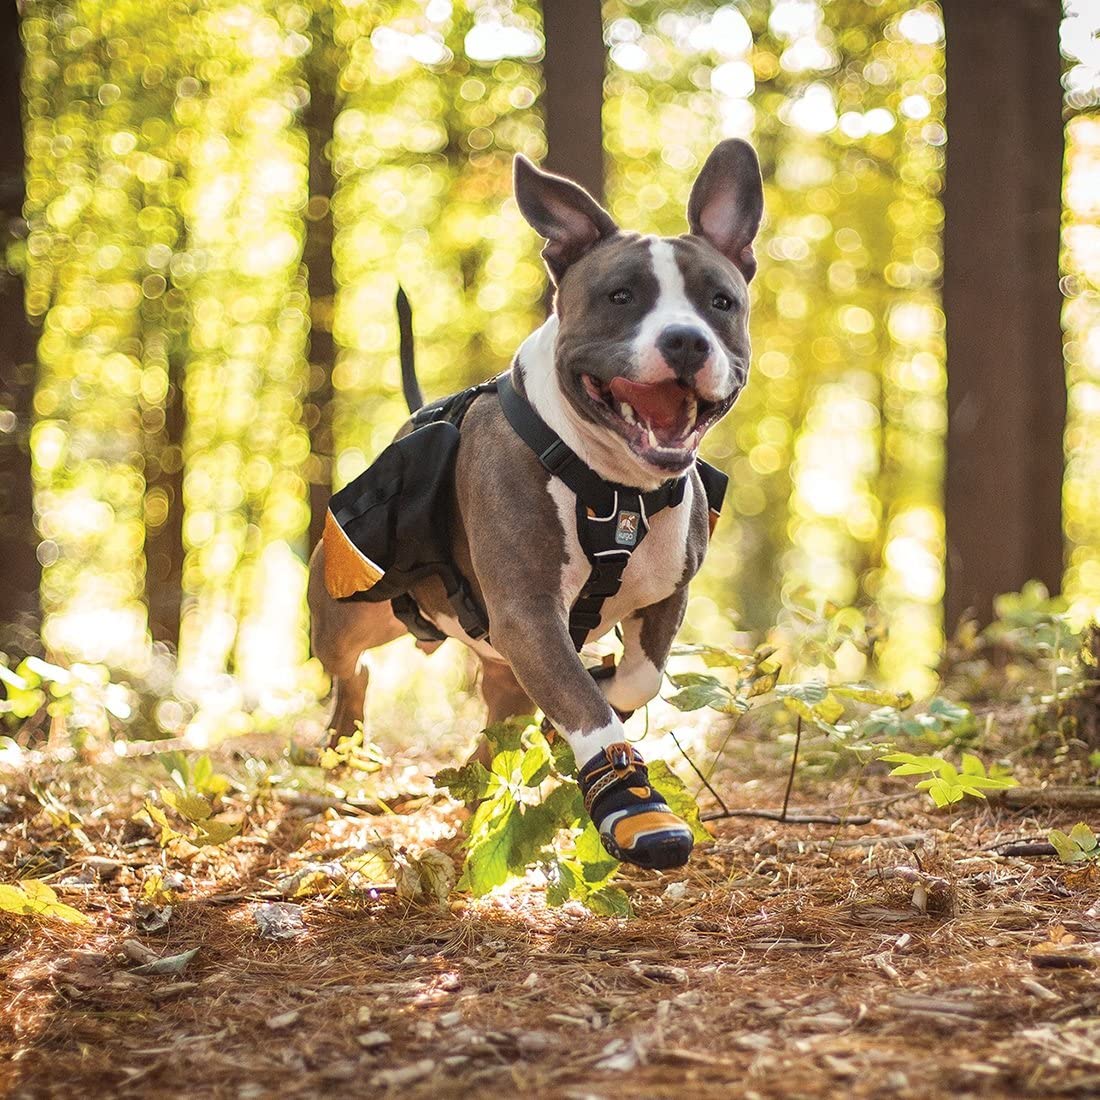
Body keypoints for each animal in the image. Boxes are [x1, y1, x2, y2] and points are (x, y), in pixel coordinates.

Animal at [305, 139, 761, 866]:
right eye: (620, 295)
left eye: (720, 301)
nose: (686, 339)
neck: (612, 483)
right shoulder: (528, 614)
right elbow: (589, 709)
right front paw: (631, 802)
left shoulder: (666, 594)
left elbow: (636, 680)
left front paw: (605, 691)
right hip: (347, 612)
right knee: (352, 670)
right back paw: (345, 744)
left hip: (498, 667)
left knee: (495, 726)